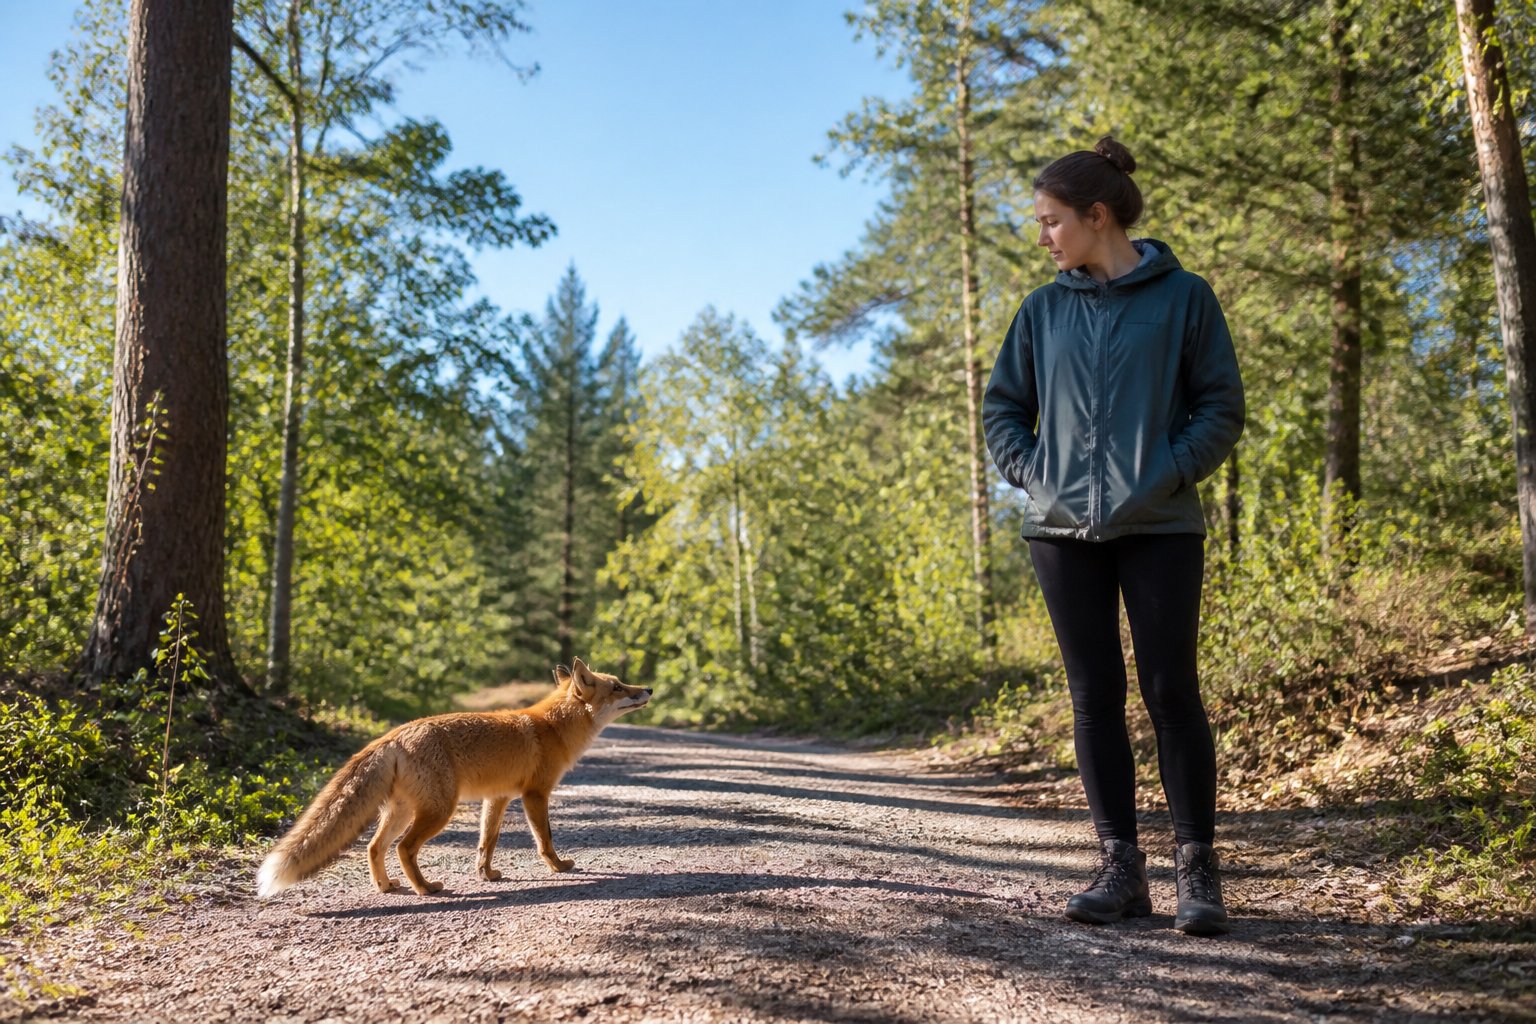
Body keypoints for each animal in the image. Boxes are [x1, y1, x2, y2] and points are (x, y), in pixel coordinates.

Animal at [256, 658, 652, 898]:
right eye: (617, 686)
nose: (648, 689)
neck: (553, 728)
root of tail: (394, 734)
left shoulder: (498, 797)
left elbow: (487, 842)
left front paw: (486, 875)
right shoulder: (535, 794)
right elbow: (545, 839)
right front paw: (558, 867)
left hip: (403, 810)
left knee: (374, 846)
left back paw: (386, 887)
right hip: (439, 810)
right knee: (403, 847)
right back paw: (426, 888)